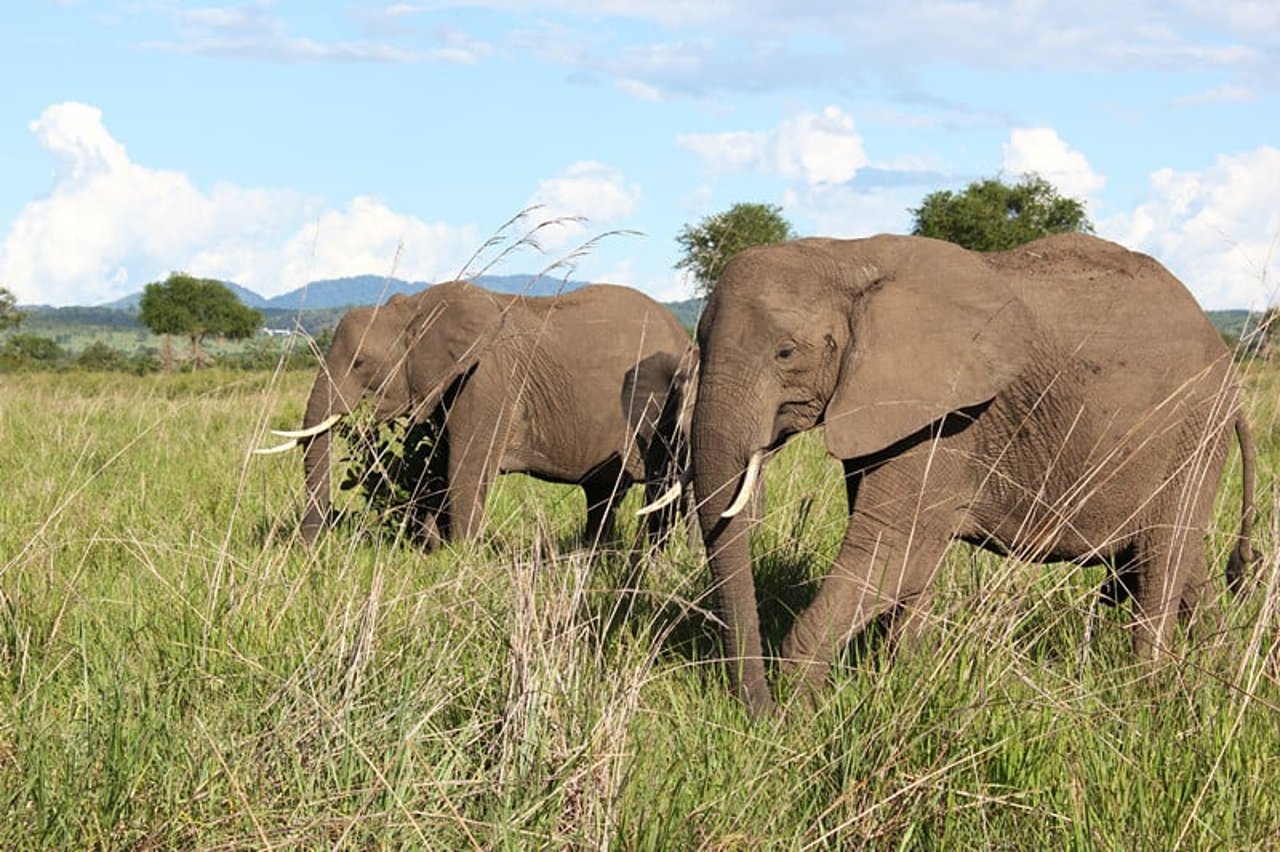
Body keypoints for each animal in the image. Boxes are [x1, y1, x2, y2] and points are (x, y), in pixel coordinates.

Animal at [259, 278, 696, 544]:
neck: (416, 310)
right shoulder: (446, 381)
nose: (310, 548)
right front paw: (431, 550)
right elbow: (436, 464)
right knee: (605, 494)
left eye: (360, 363)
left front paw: (461, 554)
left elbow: (463, 465)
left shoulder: (487, 379)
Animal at [691, 230, 1259, 711]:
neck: (847, 254)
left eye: (786, 352)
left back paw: (1143, 692)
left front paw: (798, 718)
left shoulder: (948, 416)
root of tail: (1229, 367)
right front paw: (903, 680)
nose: (756, 711)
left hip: (1193, 429)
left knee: (1163, 562)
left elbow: (892, 550)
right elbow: (912, 564)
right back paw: (1218, 671)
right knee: (1184, 562)